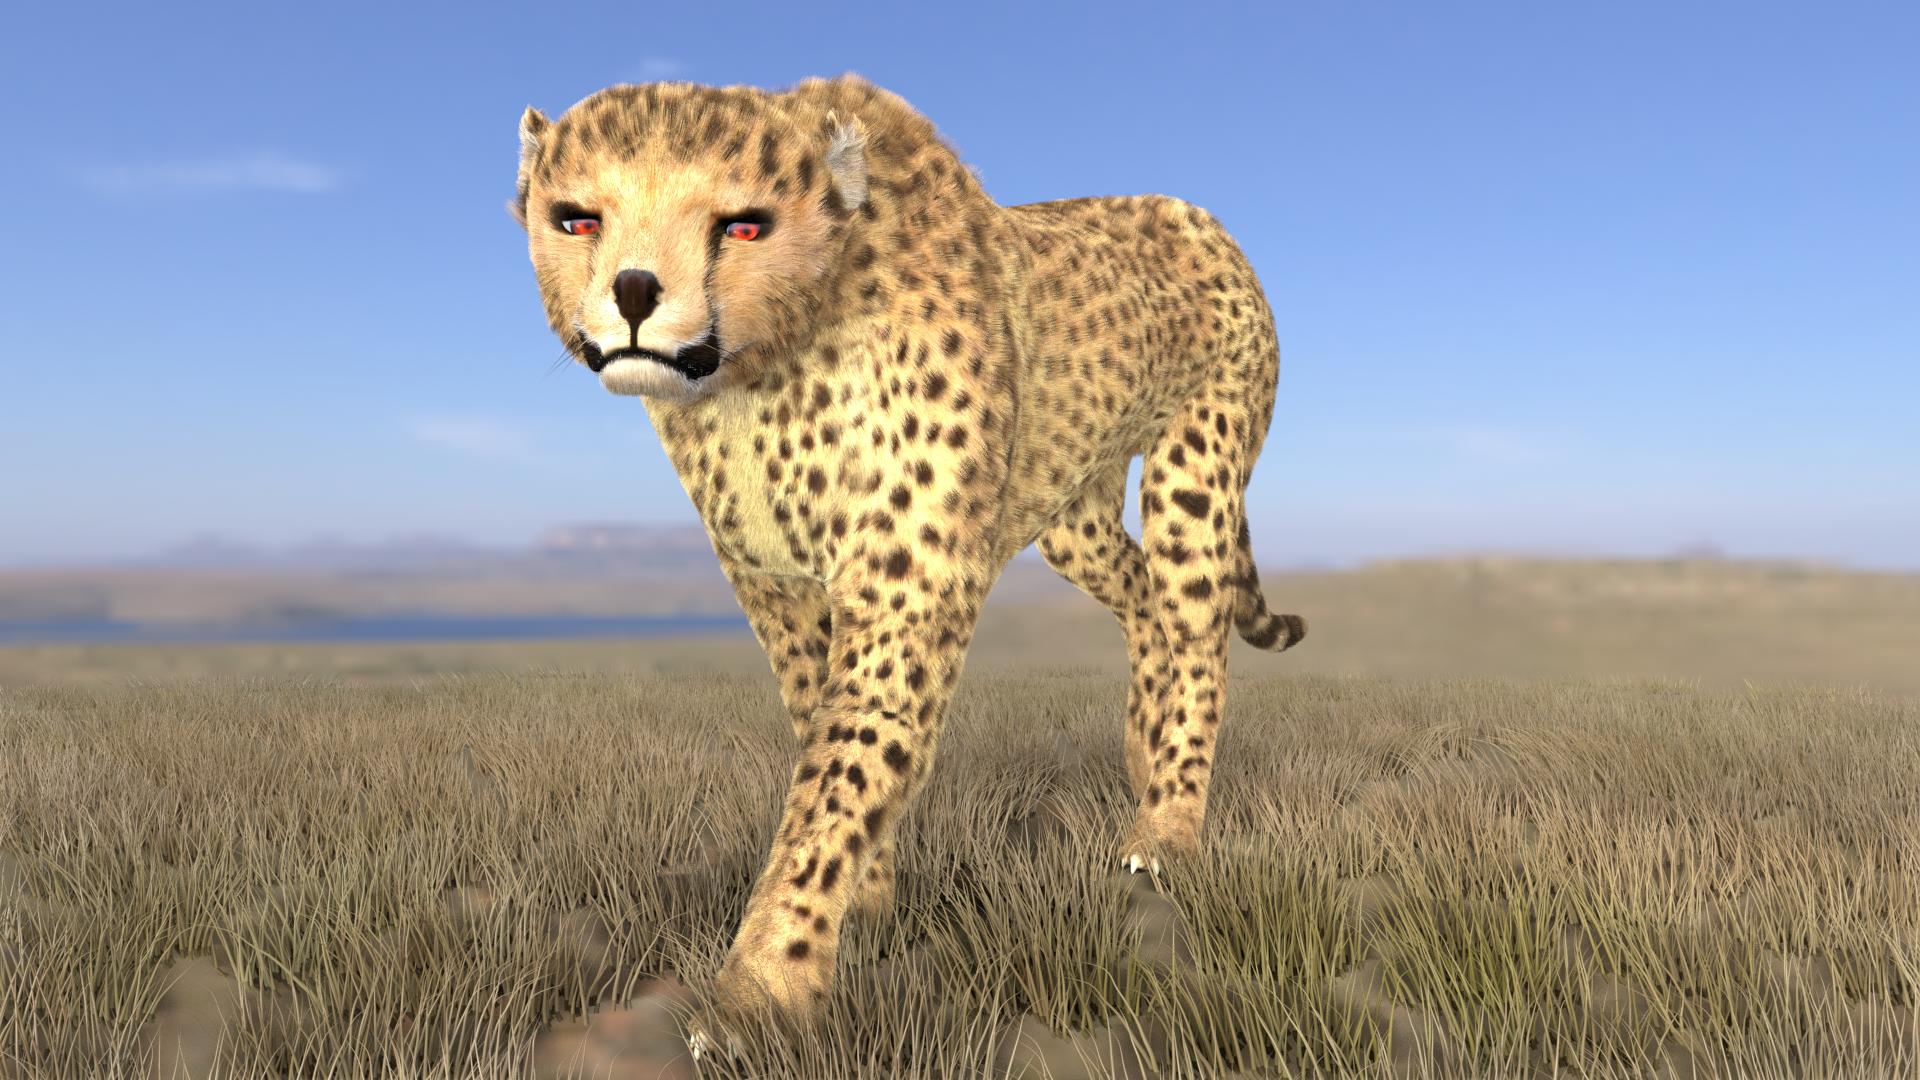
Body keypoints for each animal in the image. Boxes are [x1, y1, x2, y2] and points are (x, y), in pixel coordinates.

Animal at [511, 72, 1306, 1057]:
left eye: (742, 225)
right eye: (579, 219)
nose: (632, 292)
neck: (760, 369)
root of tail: (1195, 212)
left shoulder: (905, 590)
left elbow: (843, 770)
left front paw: (759, 990)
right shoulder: (780, 592)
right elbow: (825, 737)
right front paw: (867, 908)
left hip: (1194, 472)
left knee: (1195, 627)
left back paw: (1167, 827)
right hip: (1071, 509)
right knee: (1143, 599)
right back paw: (1139, 753)